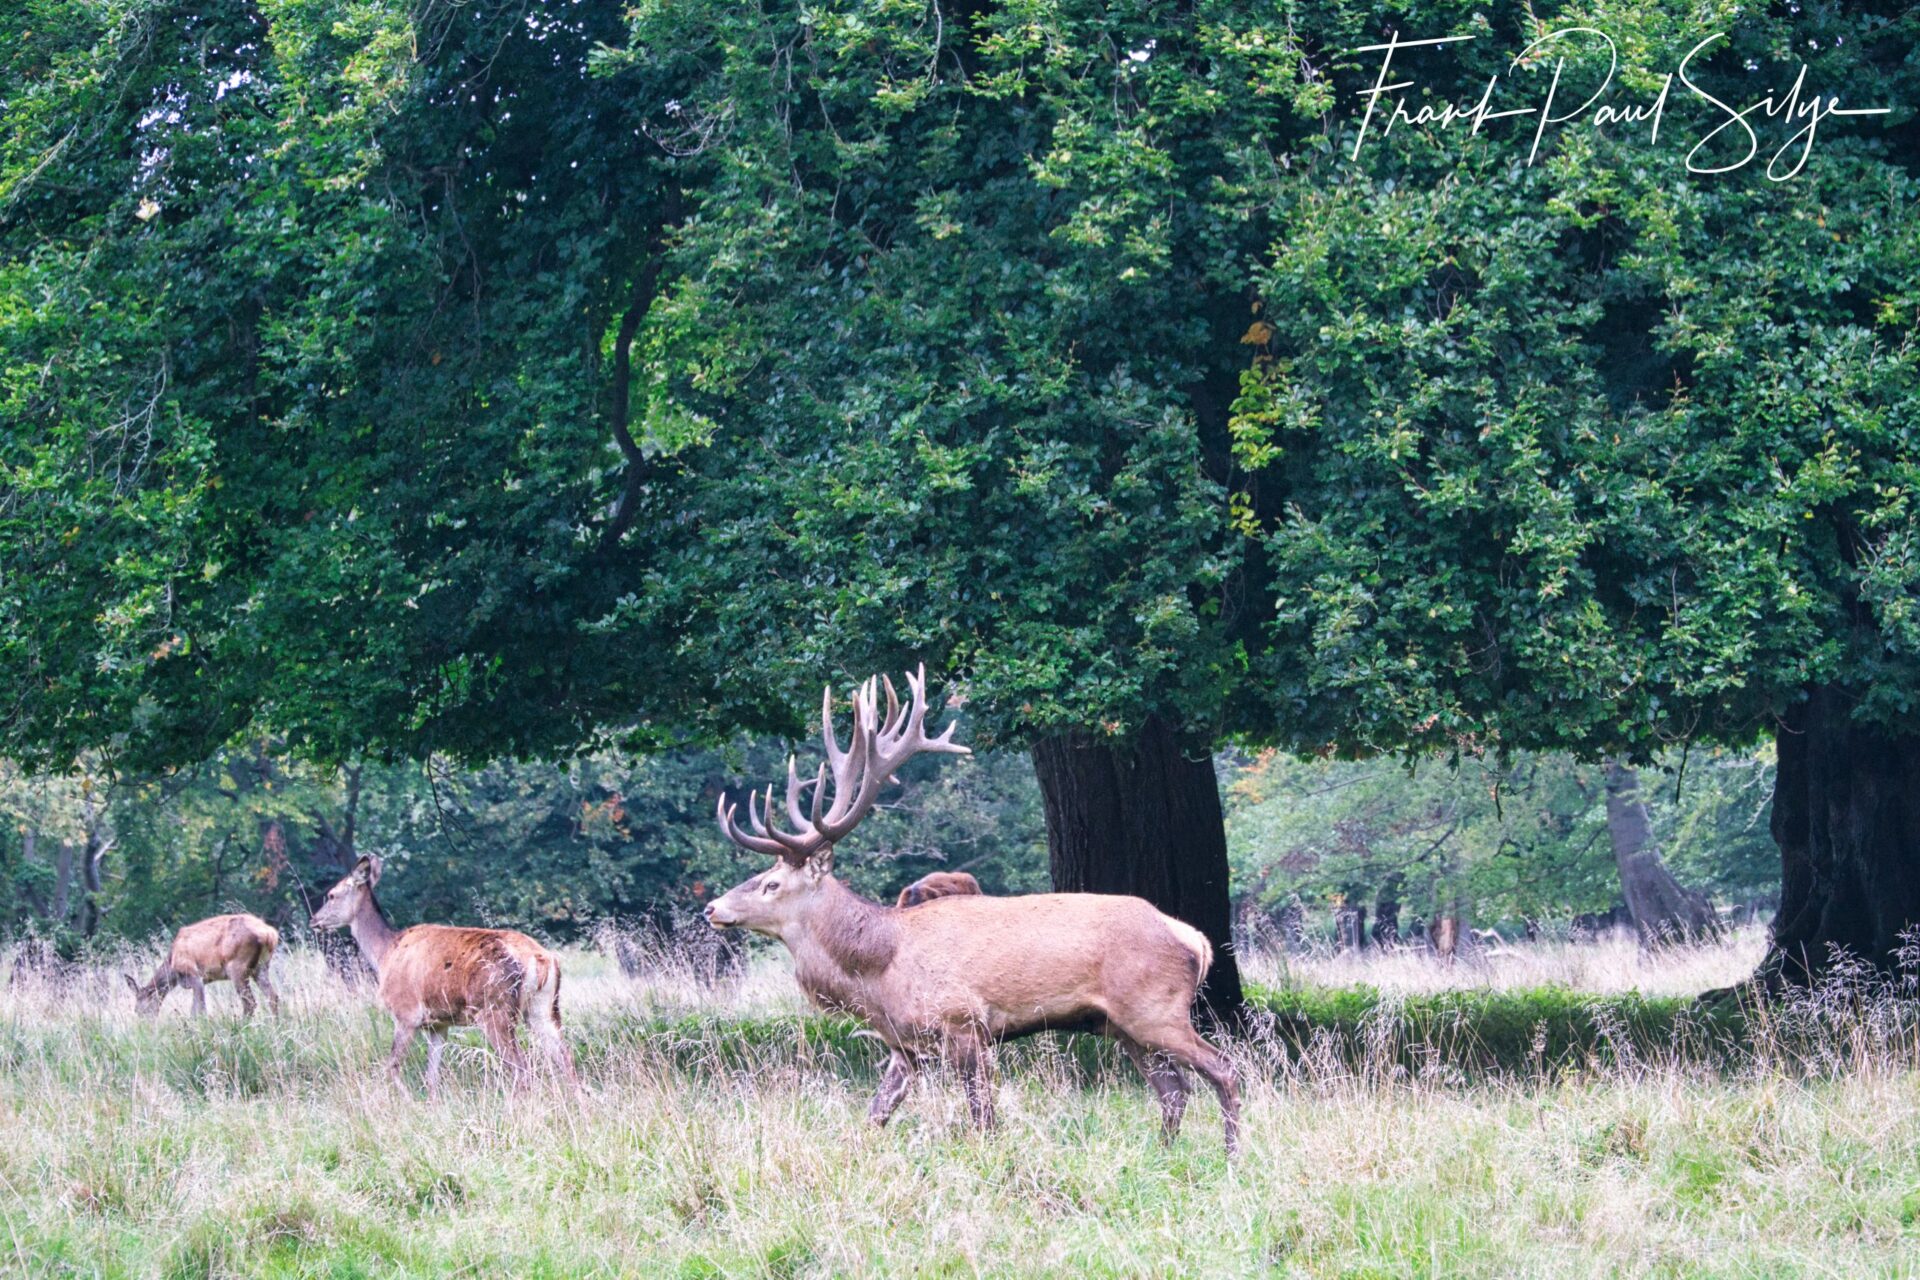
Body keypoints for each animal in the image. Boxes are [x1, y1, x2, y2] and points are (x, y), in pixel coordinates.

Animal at [125, 913, 282, 1018]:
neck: (172, 964)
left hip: (237, 967)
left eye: (138, 1009)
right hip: (261, 967)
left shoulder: (194, 975)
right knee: (273, 997)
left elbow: (199, 1010)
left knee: (250, 1003)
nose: (145, 1027)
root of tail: (270, 934)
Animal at [309, 856, 577, 1099]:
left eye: (331, 895)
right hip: (543, 1008)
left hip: (495, 1009)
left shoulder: (406, 1013)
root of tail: (541, 960)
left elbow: (391, 1066)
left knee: (522, 1067)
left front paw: (409, 1102)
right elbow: (431, 1077)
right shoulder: (438, 1023)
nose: (314, 920)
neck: (385, 953)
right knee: (566, 1058)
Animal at [704, 666, 1241, 1152]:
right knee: (1173, 1089)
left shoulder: (964, 1023)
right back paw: (1165, 1152)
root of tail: (1195, 940)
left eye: (771, 884)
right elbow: (876, 1113)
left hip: (1157, 1009)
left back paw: (1233, 1153)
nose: (711, 907)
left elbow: (983, 1118)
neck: (879, 967)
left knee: (1223, 1068)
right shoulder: (905, 1045)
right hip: (1123, 1025)